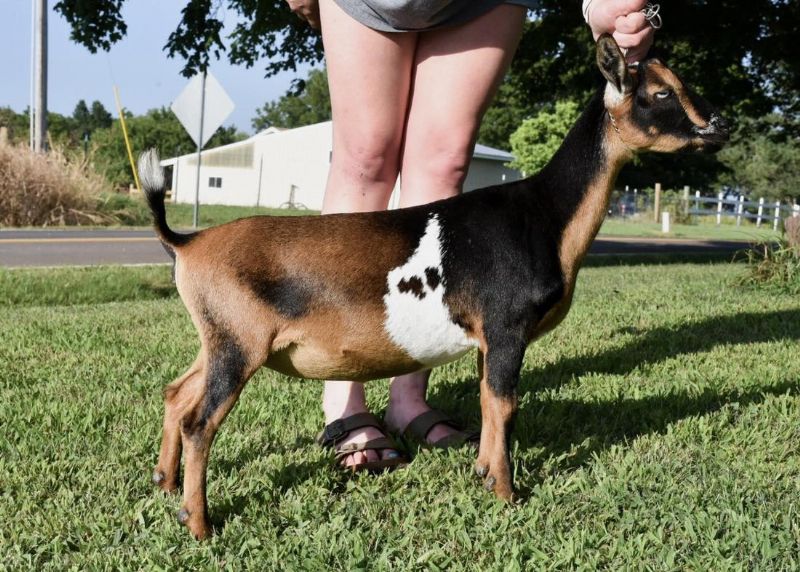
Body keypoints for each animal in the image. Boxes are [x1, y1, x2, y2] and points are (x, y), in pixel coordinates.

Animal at [139, 34, 732, 536]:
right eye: (659, 92)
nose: (720, 126)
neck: (544, 215)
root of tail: (187, 242)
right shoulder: (507, 325)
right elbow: (505, 404)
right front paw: (507, 494)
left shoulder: (488, 337)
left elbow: (490, 402)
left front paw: (483, 473)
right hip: (240, 343)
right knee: (200, 423)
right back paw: (200, 523)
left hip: (219, 337)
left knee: (176, 394)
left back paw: (164, 485)